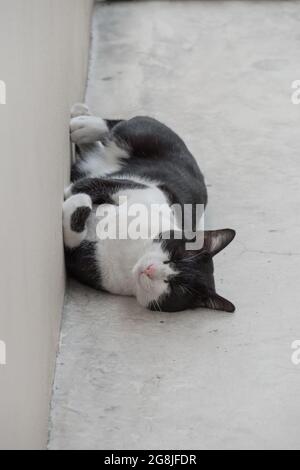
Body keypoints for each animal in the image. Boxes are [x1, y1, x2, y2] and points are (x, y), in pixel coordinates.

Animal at [62, 104, 237, 314]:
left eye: (175, 286)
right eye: (174, 257)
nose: (150, 269)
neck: (135, 252)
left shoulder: (90, 266)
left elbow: (72, 239)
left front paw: (77, 202)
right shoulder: (146, 190)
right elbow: (95, 185)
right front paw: (74, 191)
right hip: (145, 137)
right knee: (123, 125)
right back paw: (82, 120)